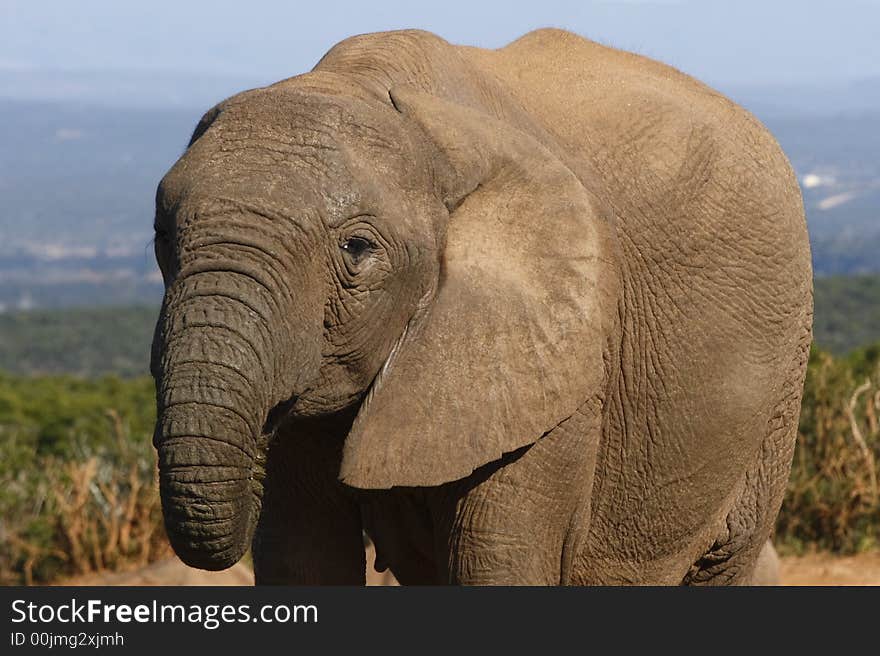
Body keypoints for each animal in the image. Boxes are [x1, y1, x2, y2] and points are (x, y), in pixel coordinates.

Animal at [150, 29, 812, 584]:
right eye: (161, 237)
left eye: (357, 249)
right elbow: (301, 552)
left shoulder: (558, 373)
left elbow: (496, 560)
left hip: (779, 387)